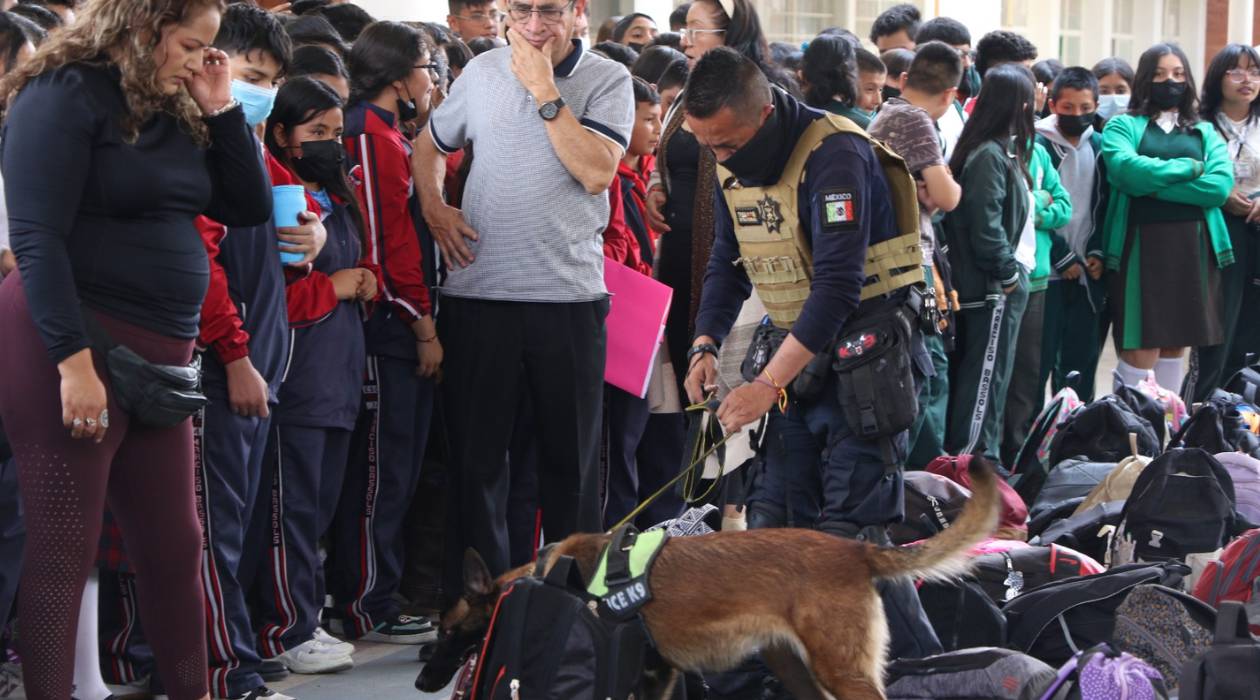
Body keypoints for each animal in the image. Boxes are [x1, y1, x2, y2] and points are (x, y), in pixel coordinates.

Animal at [418, 455, 997, 694]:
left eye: (446, 633)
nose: (422, 683)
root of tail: (854, 551)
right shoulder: (657, 676)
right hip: (795, 666)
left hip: (838, 672)